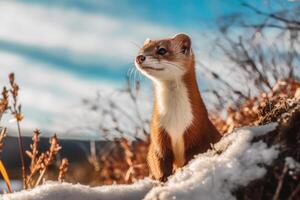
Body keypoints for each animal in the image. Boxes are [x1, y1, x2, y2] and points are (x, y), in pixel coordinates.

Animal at [135, 33, 221, 181]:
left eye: (162, 50)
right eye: (141, 49)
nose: (139, 57)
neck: (175, 119)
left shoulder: (196, 130)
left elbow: (194, 154)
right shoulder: (158, 133)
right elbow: (159, 160)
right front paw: (163, 178)